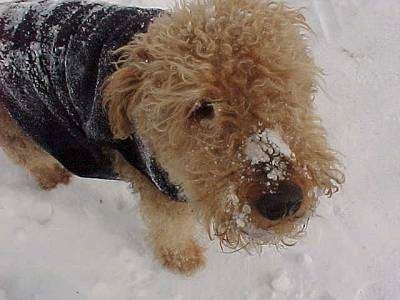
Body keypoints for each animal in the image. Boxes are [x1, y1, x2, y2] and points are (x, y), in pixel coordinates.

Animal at [0, 0, 344, 274]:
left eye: (281, 79)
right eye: (201, 108)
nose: (282, 201)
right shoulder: (157, 186)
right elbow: (171, 230)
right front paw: (184, 262)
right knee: (28, 156)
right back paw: (54, 178)